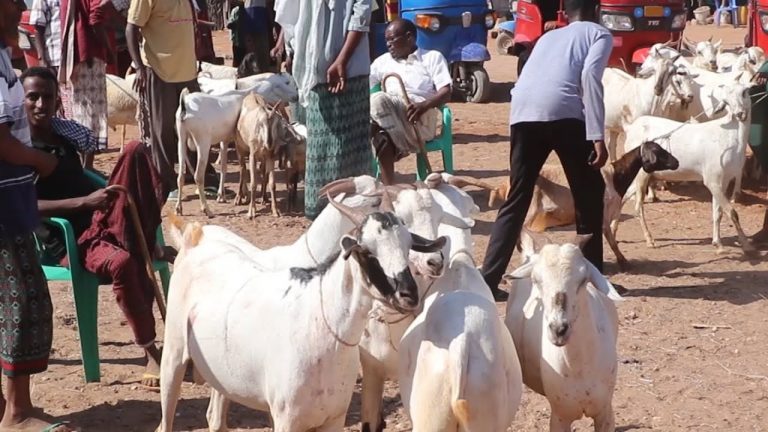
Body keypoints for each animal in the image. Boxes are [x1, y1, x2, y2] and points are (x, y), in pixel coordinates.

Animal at [158, 202, 444, 432]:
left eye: (408, 247)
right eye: (367, 252)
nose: (408, 295)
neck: (322, 326)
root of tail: (195, 237)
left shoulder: (334, 417)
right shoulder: (286, 419)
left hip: (221, 374)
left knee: (215, 419)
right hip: (173, 353)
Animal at [504, 231, 624, 432]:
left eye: (583, 280)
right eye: (536, 280)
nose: (558, 329)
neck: (580, 369)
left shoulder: (605, 411)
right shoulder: (560, 416)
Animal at [624, 82, 756, 255]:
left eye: (744, 92)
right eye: (726, 101)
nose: (740, 114)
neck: (730, 136)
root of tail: (631, 128)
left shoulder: (723, 180)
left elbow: (718, 213)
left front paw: (718, 244)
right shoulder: (712, 179)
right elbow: (732, 212)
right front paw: (746, 245)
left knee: (623, 195)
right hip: (641, 174)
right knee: (637, 206)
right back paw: (649, 240)